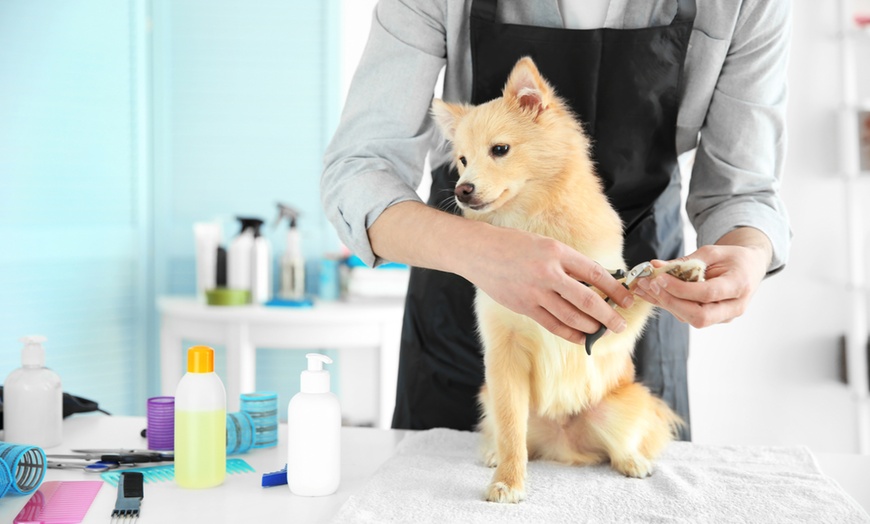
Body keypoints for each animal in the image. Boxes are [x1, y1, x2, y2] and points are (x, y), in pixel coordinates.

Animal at [430, 57, 708, 504]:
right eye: (462, 161)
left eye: (499, 150)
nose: (462, 190)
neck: (532, 225)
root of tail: (564, 443)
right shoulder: (505, 358)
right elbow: (512, 431)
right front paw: (509, 480)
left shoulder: (608, 322)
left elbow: (639, 288)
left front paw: (679, 270)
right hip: (495, 398)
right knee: (508, 432)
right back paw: (493, 454)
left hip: (618, 405)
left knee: (621, 442)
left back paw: (632, 461)